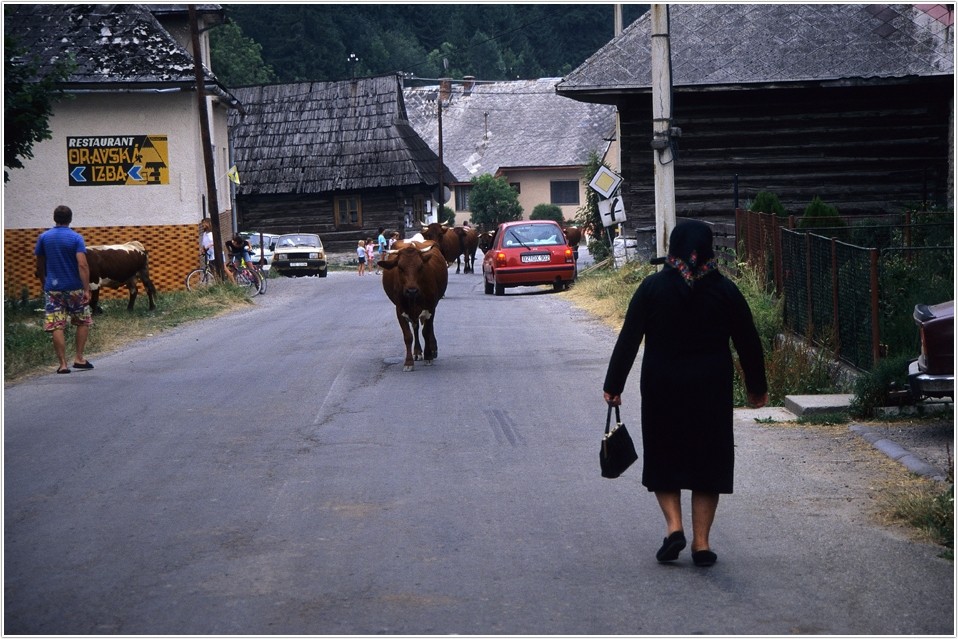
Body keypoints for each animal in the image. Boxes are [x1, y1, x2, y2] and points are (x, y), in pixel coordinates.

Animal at [378, 239, 450, 370]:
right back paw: (417, 352)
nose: (411, 291)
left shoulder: (430, 308)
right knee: (415, 327)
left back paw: (433, 349)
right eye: (400, 268)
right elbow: (408, 336)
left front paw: (428, 356)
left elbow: (426, 332)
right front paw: (408, 362)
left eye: (420, 267)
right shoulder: (400, 310)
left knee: (429, 328)